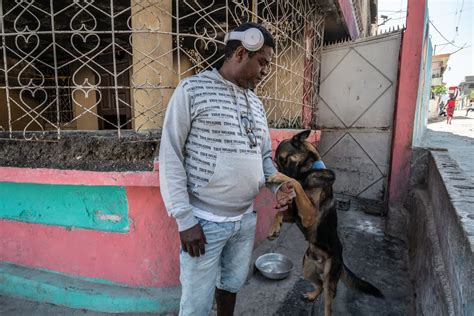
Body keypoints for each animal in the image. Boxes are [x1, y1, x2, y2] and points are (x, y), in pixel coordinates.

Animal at [268, 129, 384, 316]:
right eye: (277, 163)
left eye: (284, 159)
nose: (284, 188)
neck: (308, 171)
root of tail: (340, 259)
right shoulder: (295, 216)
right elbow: (280, 212)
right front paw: (274, 229)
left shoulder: (308, 216)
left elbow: (296, 183)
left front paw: (281, 177)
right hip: (306, 268)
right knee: (320, 284)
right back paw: (311, 295)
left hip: (330, 278)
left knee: (328, 299)